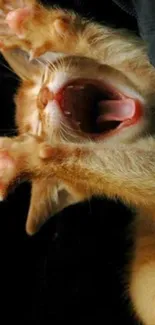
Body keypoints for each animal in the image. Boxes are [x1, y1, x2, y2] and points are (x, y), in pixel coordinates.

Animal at [0, 1, 155, 322]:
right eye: (37, 129)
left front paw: (31, 25)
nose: (44, 98)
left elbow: (124, 56)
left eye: (42, 82)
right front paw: (22, 159)